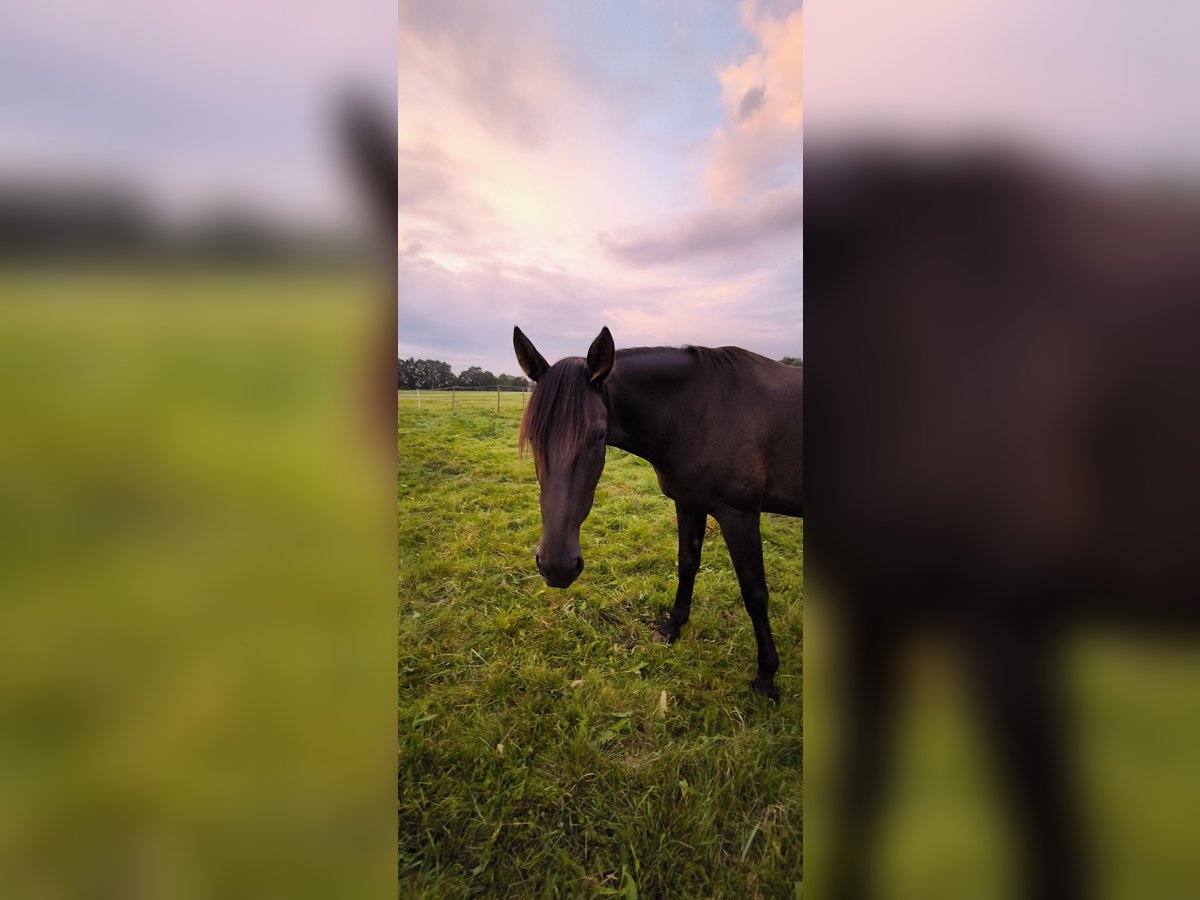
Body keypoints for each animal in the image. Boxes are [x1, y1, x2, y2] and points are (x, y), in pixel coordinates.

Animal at [511, 328, 801, 700]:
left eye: (598, 436)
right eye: (533, 436)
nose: (557, 566)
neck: (703, 411)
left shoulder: (741, 515)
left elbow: (755, 593)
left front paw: (766, 675)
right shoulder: (690, 502)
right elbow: (687, 565)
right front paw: (672, 627)